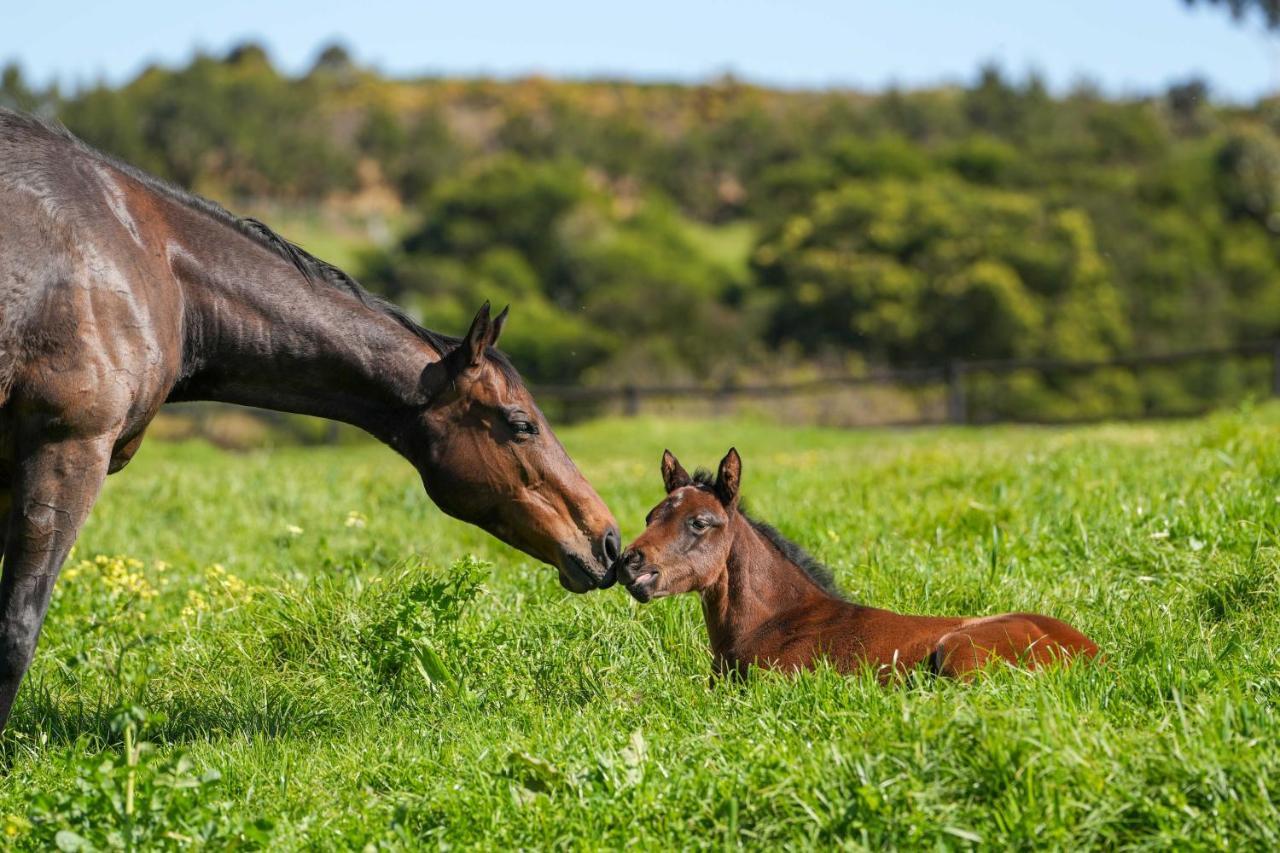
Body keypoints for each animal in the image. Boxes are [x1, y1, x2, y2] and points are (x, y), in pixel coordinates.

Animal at [614, 445, 1095, 676]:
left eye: (699, 522)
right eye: (651, 515)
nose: (630, 563)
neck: (772, 622)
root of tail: (1093, 656)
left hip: (959, 652)